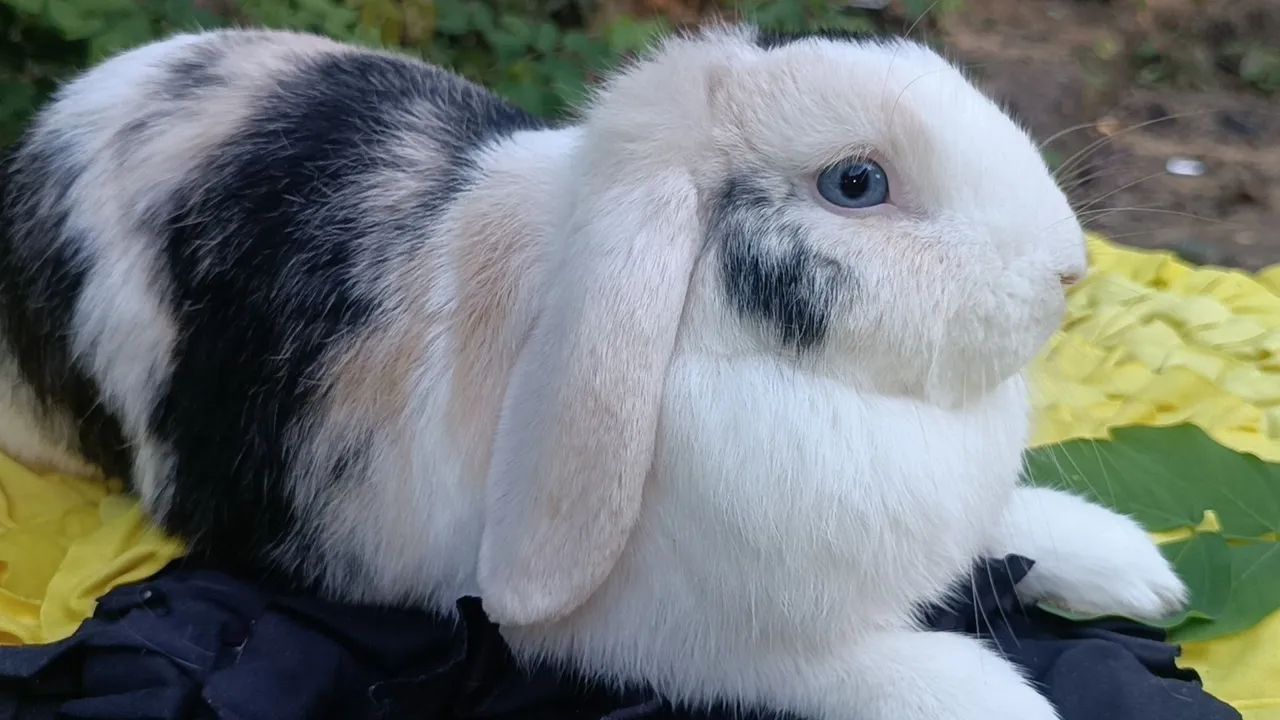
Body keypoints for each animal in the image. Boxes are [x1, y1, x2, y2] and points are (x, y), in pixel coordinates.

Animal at [0, 23, 1189, 720]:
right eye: (856, 183)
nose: (1070, 270)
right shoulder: (707, 649)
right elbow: (869, 673)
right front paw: (1004, 701)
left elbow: (1010, 527)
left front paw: (1134, 573)